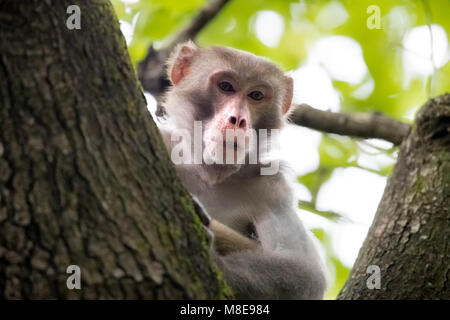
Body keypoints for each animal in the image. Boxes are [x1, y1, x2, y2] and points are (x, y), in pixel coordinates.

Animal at [156, 41, 326, 298]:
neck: (210, 175)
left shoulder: (273, 189)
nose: (238, 120)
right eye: (226, 87)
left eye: (256, 95)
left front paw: (214, 260)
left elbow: (305, 271)